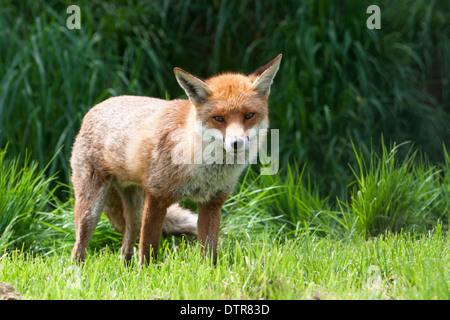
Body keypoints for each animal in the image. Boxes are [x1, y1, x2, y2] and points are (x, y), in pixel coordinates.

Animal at [70, 54, 282, 264]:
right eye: (219, 118)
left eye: (249, 115)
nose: (236, 143)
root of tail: (97, 106)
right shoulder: (157, 197)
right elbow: (148, 248)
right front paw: (146, 272)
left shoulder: (212, 202)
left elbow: (209, 252)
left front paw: (207, 271)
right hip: (92, 208)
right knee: (78, 247)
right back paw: (78, 270)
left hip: (135, 208)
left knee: (127, 243)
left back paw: (125, 266)